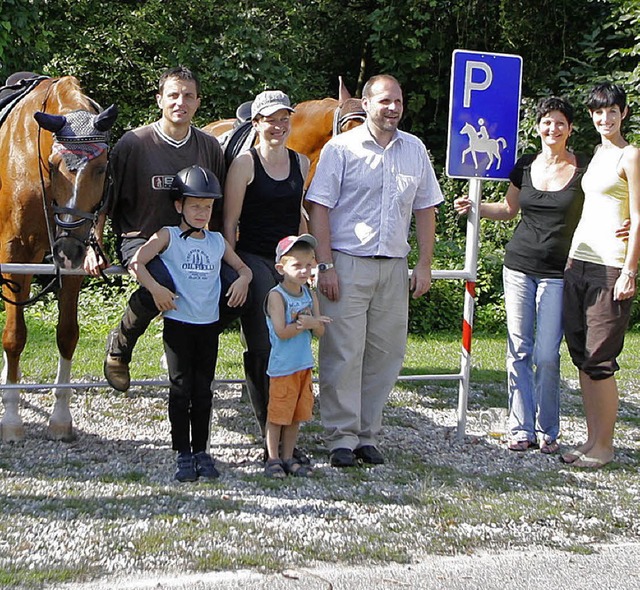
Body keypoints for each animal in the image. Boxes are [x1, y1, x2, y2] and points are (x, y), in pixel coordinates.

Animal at [0, 75, 116, 444]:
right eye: (53, 166)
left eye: (102, 168)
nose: (66, 249)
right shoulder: (13, 251)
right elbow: (14, 336)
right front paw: (11, 420)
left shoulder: (73, 256)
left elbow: (67, 333)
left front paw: (60, 418)